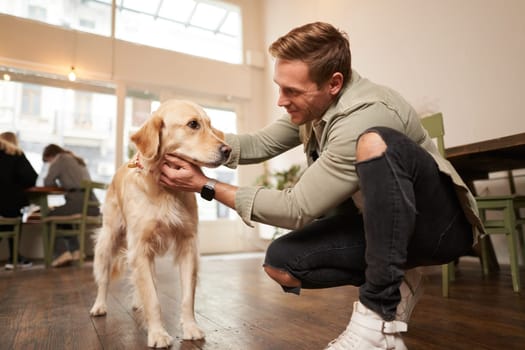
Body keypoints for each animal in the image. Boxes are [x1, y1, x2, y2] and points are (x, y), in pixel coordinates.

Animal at [90, 98, 231, 348]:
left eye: (209, 124)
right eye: (193, 124)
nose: (228, 150)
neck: (166, 189)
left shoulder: (187, 244)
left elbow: (186, 296)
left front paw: (190, 327)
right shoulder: (140, 248)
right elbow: (153, 299)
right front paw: (157, 334)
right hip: (108, 240)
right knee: (104, 279)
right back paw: (99, 305)